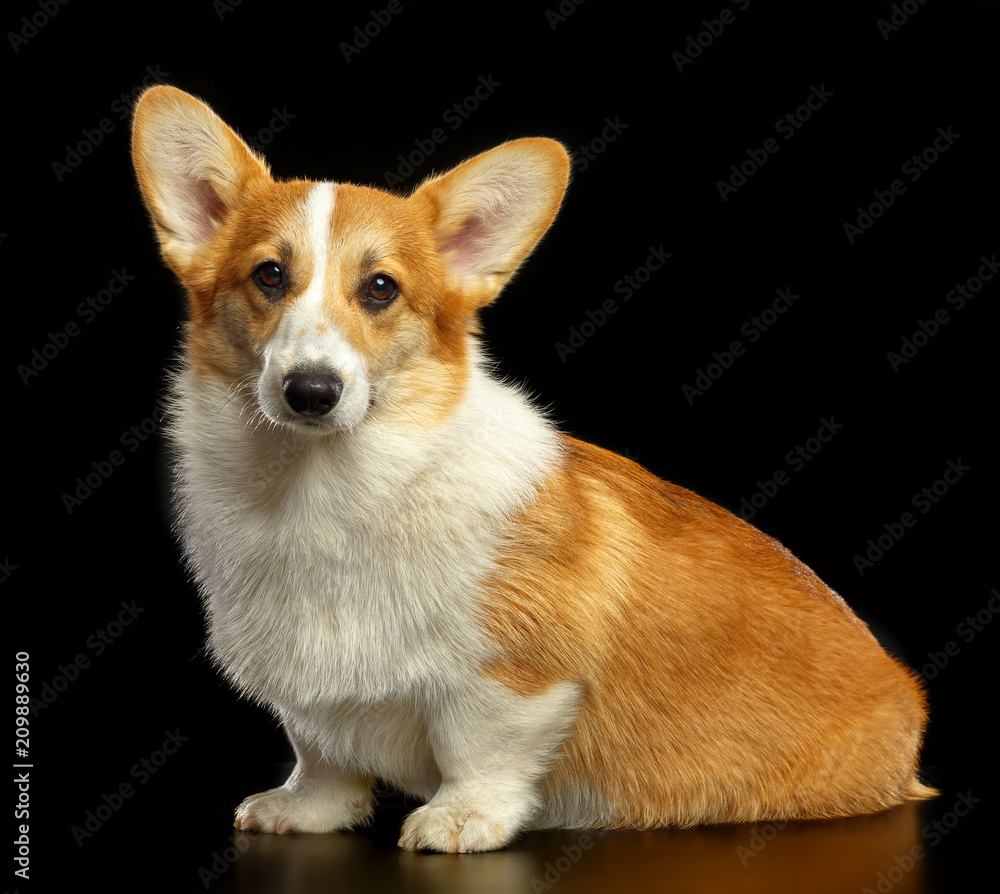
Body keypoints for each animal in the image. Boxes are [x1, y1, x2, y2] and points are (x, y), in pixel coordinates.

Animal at [129, 87, 932, 856]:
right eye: (269, 275)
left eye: (381, 288)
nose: (311, 390)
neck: (324, 488)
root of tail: (909, 703)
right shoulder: (308, 694)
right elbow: (322, 753)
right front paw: (308, 808)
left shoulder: (512, 677)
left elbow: (478, 749)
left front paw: (460, 819)